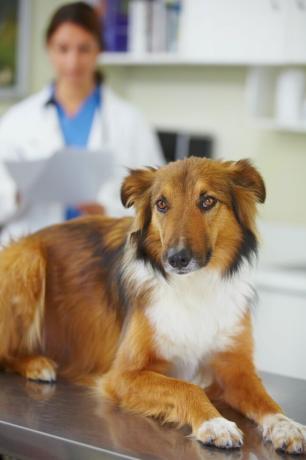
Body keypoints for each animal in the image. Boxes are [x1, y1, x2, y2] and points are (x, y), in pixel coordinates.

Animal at [0, 157, 304, 452]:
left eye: (207, 201)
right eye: (161, 204)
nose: (177, 258)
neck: (193, 285)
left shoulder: (236, 368)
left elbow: (267, 400)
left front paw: (286, 426)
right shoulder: (122, 374)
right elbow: (187, 387)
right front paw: (215, 423)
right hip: (28, 261)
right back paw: (38, 365)